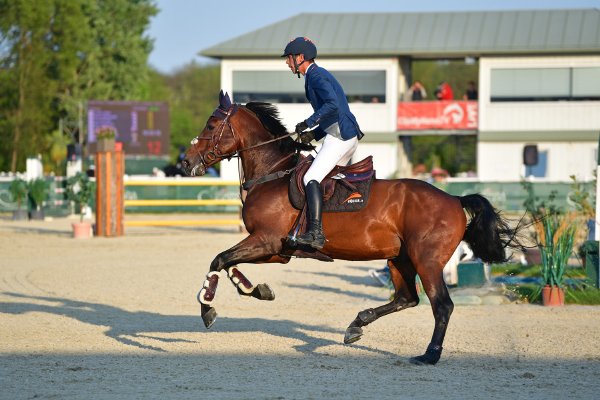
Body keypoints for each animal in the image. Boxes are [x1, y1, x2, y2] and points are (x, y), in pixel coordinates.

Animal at [182, 91, 520, 366]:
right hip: (400, 258)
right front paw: (255, 289)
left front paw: (207, 308)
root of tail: (454, 198)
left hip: (426, 260)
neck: (272, 173)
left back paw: (430, 355)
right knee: (407, 298)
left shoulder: (266, 241)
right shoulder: (277, 250)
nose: (185, 163)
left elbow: (219, 259)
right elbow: (228, 262)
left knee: (441, 305)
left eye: (211, 125)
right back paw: (357, 324)